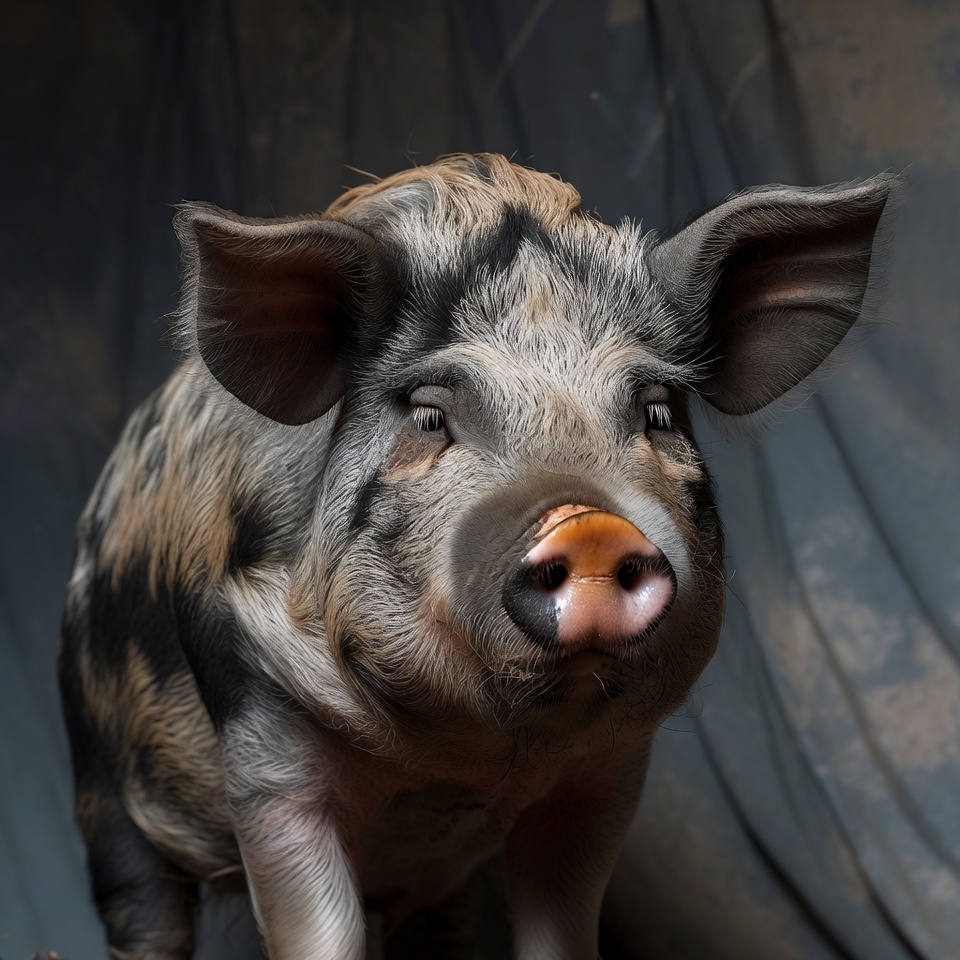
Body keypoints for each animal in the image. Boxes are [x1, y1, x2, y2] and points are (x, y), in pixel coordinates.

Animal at [58, 153, 902, 960]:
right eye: (431, 418)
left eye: (658, 412)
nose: (589, 525)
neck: (475, 755)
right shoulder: (265, 745)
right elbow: (315, 932)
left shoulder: (604, 775)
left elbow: (563, 933)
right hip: (99, 787)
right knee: (143, 913)